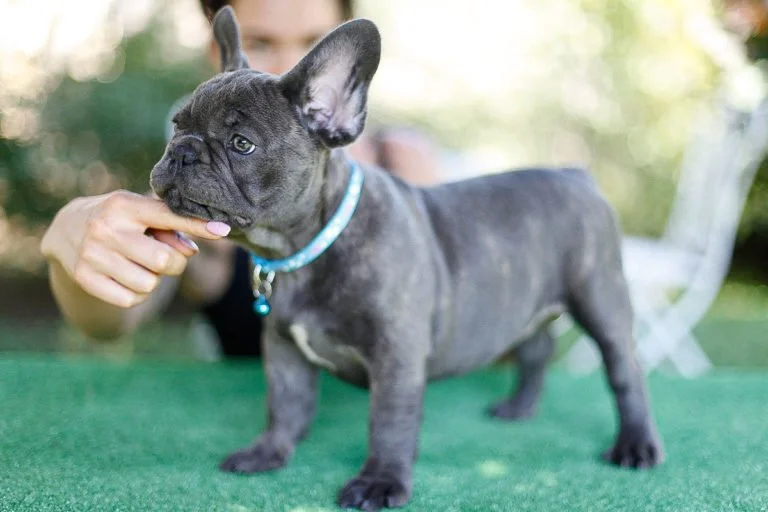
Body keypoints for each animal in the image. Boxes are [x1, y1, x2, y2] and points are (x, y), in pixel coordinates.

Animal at [152, 6, 664, 510]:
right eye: (177, 125)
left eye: (242, 144)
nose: (182, 152)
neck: (305, 248)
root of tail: (577, 176)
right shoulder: (283, 350)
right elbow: (285, 405)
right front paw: (268, 452)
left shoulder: (396, 358)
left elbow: (389, 422)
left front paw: (380, 482)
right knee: (535, 349)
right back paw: (519, 409)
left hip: (601, 298)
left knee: (625, 372)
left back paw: (635, 445)